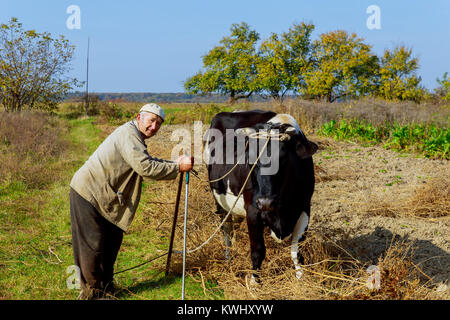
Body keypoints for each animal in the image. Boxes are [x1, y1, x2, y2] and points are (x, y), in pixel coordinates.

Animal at [204, 110, 316, 282]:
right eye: (250, 159)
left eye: (283, 159)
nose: (265, 202)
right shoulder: (253, 211)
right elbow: (258, 250)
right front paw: (254, 281)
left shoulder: (304, 208)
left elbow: (297, 250)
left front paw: (301, 278)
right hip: (219, 200)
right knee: (226, 230)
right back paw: (229, 258)